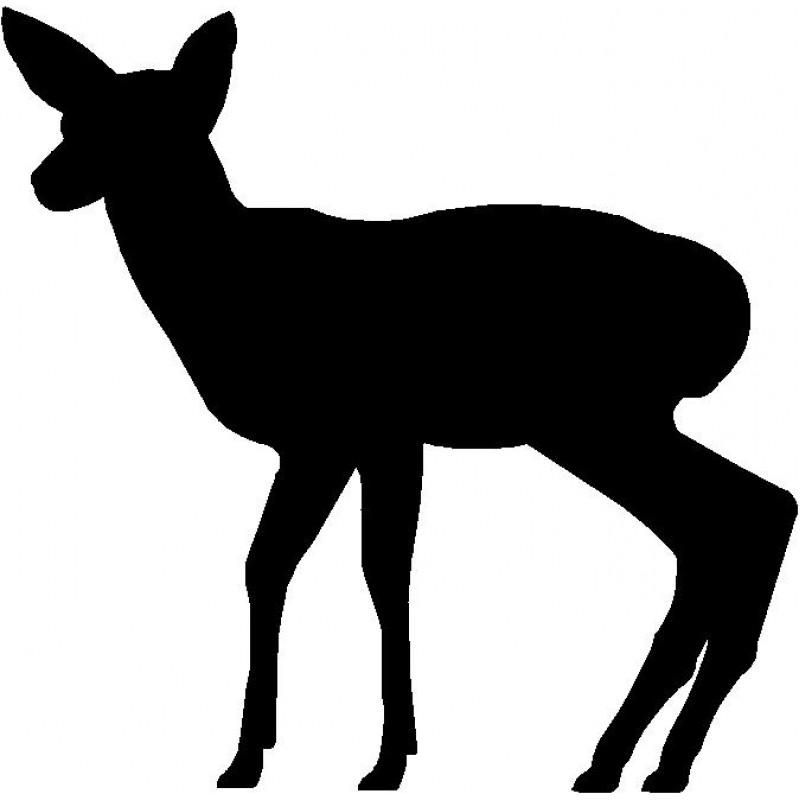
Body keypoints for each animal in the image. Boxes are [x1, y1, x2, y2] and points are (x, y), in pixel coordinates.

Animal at [2, 6, 796, 794]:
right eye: (71, 118)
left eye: (150, 127)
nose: (44, 180)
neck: (228, 286)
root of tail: (731, 304)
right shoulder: (350, 442)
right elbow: (285, 566)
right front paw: (266, 753)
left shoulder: (351, 430)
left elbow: (366, 572)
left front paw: (372, 758)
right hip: (619, 418)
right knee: (744, 513)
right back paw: (640, 760)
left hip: (596, 414)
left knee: (734, 516)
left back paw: (631, 758)